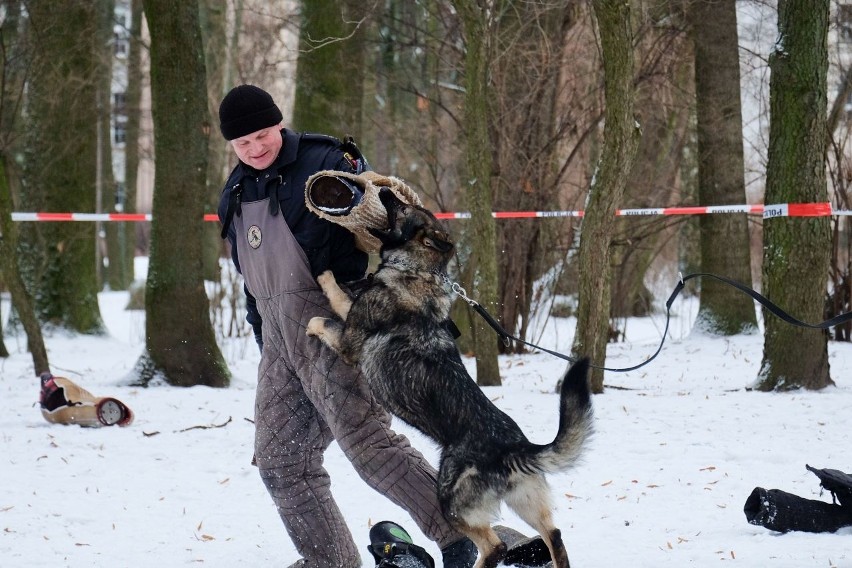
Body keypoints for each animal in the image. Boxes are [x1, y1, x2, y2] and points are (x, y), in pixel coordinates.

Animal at [306, 192, 592, 568]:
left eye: (402, 209)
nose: (384, 192)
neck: (416, 269)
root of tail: (514, 448)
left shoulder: (349, 341)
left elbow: (328, 311)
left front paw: (322, 285)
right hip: (528, 504)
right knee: (554, 535)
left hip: (450, 500)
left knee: (495, 545)